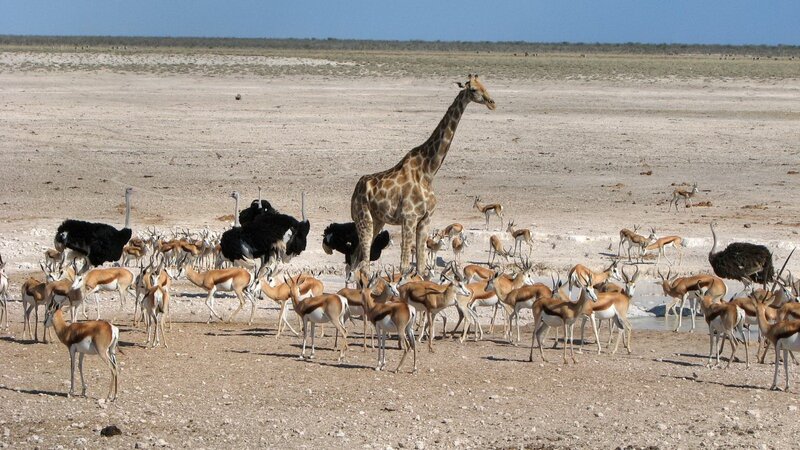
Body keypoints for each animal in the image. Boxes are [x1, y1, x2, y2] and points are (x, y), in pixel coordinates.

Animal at [351, 74, 496, 274]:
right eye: (473, 89)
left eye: (484, 85)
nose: (491, 103)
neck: (428, 171)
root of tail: (355, 190)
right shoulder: (409, 218)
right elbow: (405, 266)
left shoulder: (425, 220)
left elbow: (420, 266)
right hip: (364, 218)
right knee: (363, 262)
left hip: (378, 220)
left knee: (354, 259)